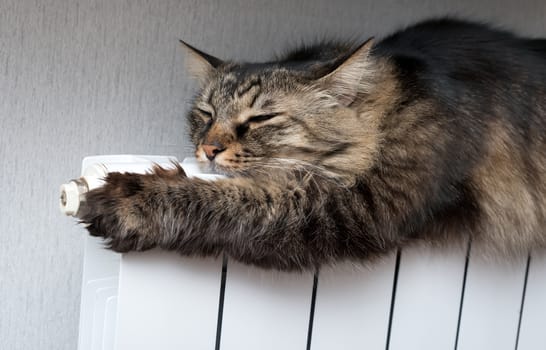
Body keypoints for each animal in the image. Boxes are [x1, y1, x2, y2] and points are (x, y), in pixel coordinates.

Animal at [78, 18, 544, 270]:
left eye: (259, 119)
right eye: (207, 114)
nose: (208, 149)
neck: (397, 103)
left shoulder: (361, 204)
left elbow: (236, 200)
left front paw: (128, 197)